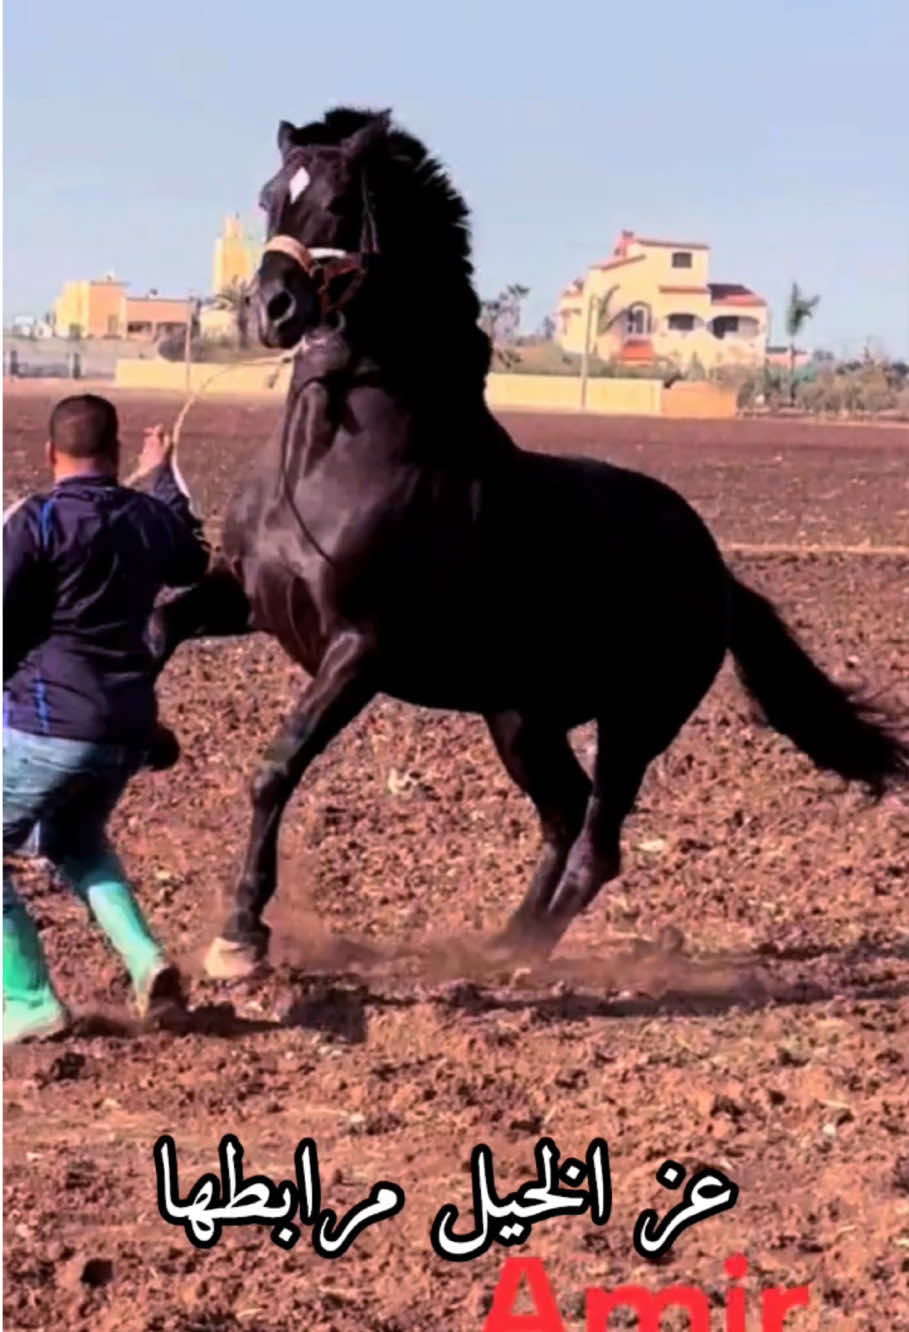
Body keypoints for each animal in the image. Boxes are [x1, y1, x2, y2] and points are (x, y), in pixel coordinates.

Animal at [150, 106, 906, 980]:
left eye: (338, 203)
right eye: (270, 196)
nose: (271, 309)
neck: (334, 461)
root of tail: (716, 573)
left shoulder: (360, 650)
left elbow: (277, 766)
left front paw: (240, 933)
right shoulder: (246, 599)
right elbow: (160, 623)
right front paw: (147, 738)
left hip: (633, 723)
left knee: (596, 843)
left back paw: (522, 957)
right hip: (521, 717)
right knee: (564, 814)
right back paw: (504, 940)